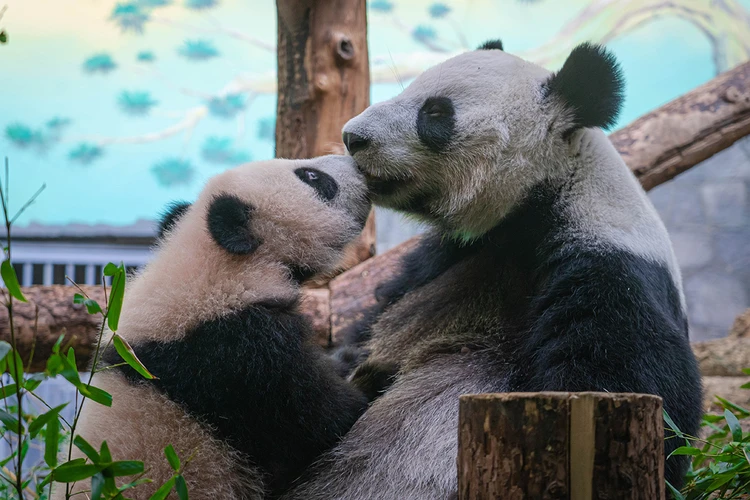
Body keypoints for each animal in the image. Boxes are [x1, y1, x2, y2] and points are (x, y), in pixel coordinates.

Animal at [286, 42, 704, 496]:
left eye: (436, 112)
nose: (352, 137)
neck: (542, 200)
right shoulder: (448, 255)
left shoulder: (610, 271)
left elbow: (631, 387)